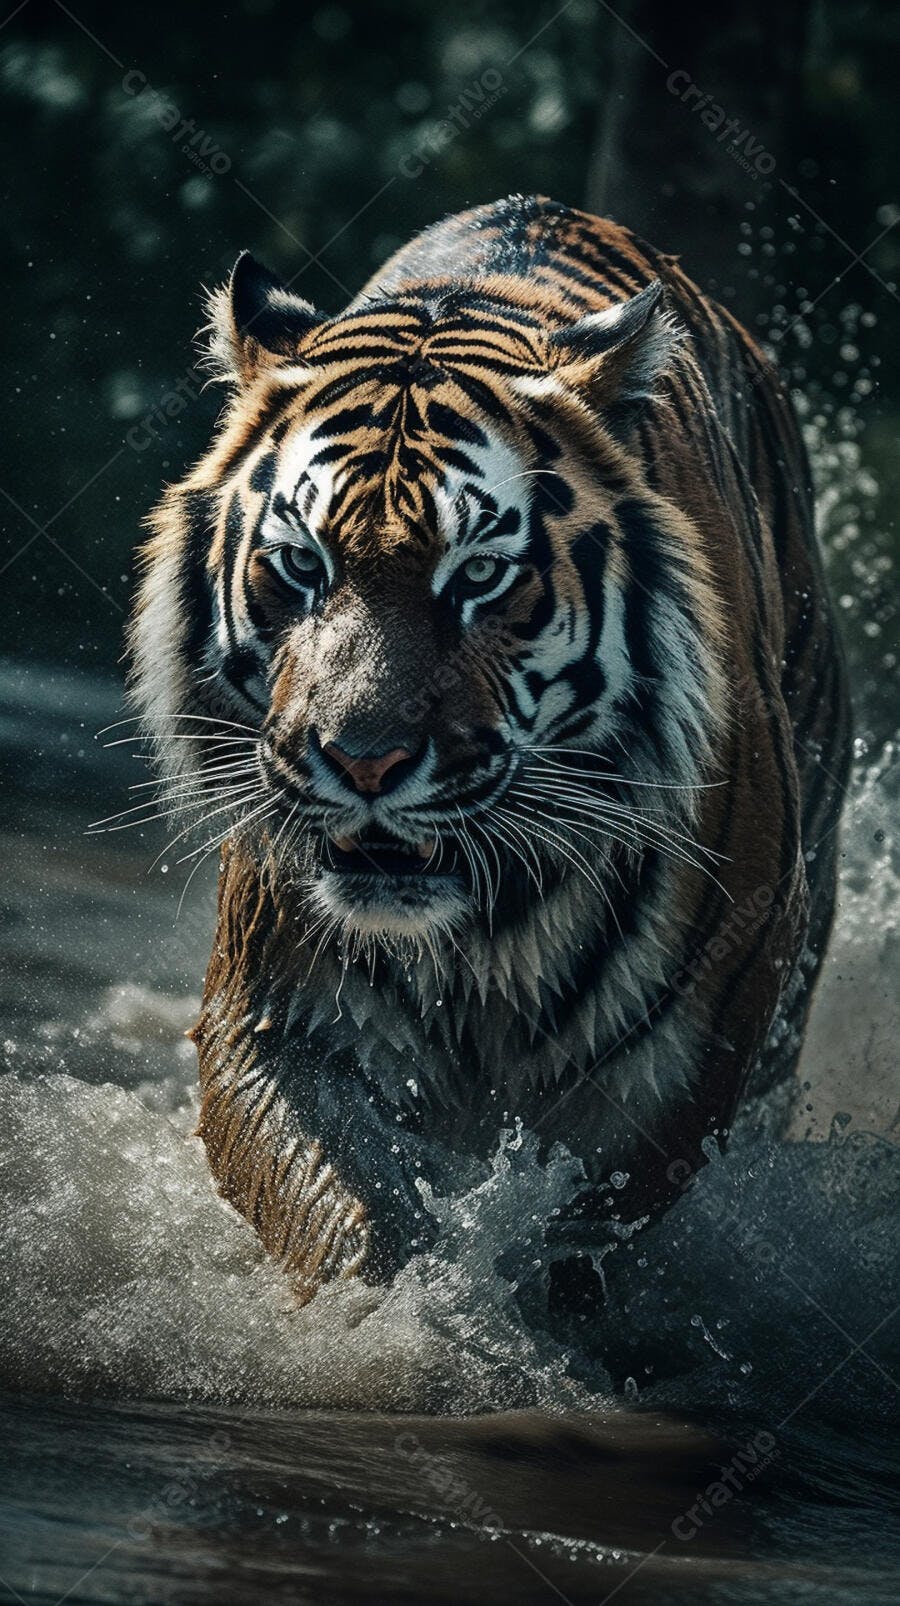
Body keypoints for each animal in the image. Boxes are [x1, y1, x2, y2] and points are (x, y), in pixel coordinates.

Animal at [129, 194, 851, 1304]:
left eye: (477, 575)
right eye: (301, 565)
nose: (362, 762)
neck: (487, 917)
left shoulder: (677, 1072)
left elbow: (575, 1245)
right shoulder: (277, 1017)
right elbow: (349, 1216)